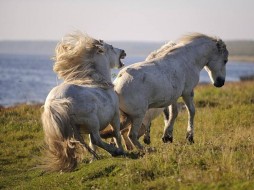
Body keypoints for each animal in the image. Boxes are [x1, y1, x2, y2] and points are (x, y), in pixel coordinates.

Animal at [41, 32, 127, 172]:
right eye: (111, 47)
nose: (123, 51)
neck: (100, 83)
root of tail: (54, 103)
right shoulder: (115, 116)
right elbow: (117, 135)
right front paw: (122, 151)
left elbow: (92, 142)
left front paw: (93, 159)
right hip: (92, 121)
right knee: (96, 139)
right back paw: (114, 151)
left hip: (74, 128)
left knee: (81, 141)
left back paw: (95, 157)